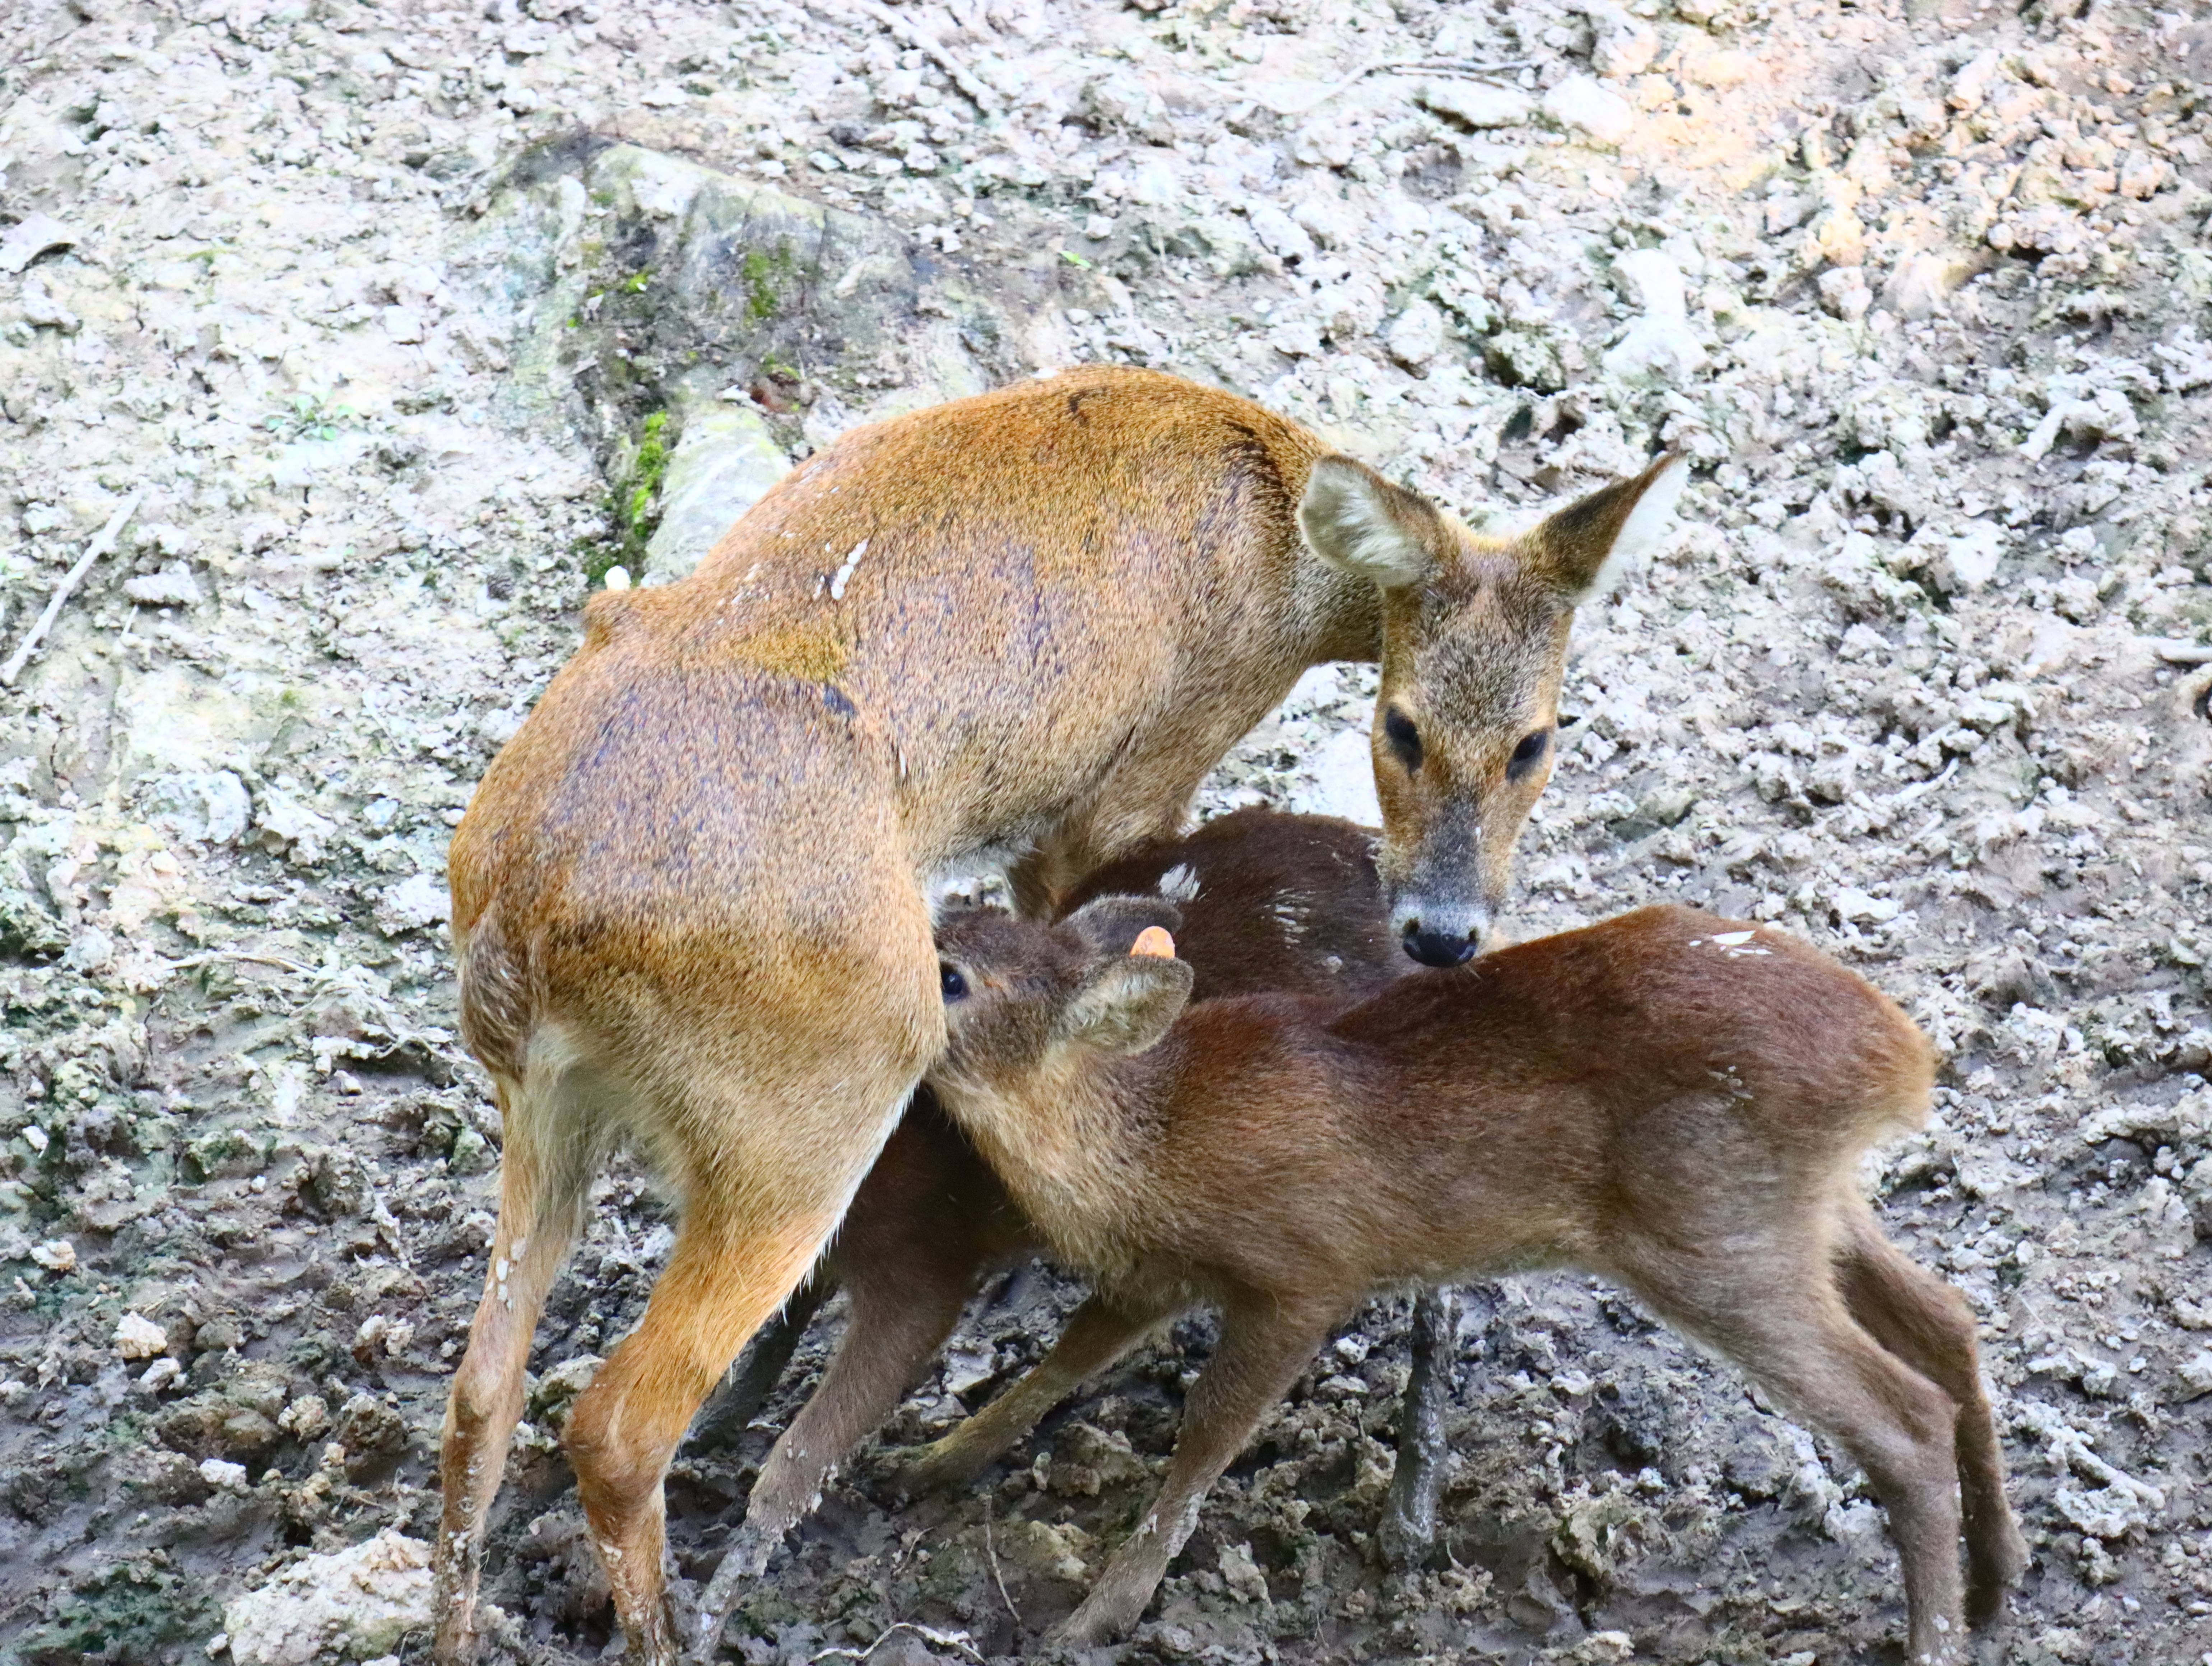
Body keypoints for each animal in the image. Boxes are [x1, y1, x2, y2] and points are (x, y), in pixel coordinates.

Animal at [431, 369, 1681, 1655]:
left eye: (1536, 740)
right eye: (1401, 728)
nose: (1440, 932)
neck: (1277, 532)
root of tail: (527, 907)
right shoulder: (1137, 765)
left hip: (548, 1105)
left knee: (481, 1393)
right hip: (813, 1100)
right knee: (617, 1422)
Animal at [924, 898, 2026, 1663]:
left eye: (949, 976)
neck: (1149, 1139)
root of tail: (1904, 1059)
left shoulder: (1304, 1270)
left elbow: (1205, 1435)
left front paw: (1098, 1614)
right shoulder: (1153, 1275)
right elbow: (1059, 1363)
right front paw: (933, 1460)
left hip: (1714, 1236)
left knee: (1903, 1415)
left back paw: (1935, 1636)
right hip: (1807, 1211)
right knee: (1950, 1320)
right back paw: (1994, 1582)